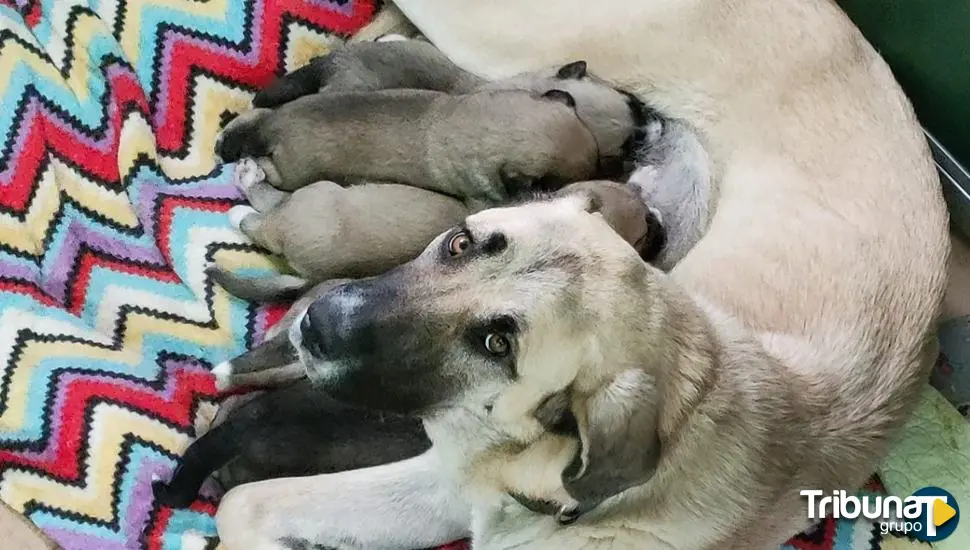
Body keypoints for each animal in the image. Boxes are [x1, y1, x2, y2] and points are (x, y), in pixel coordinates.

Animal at [212, 1, 944, 550]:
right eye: (458, 244)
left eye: (497, 344)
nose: (318, 325)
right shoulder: (439, 477)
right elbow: (243, 506)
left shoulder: (445, 484)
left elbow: (242, 502)